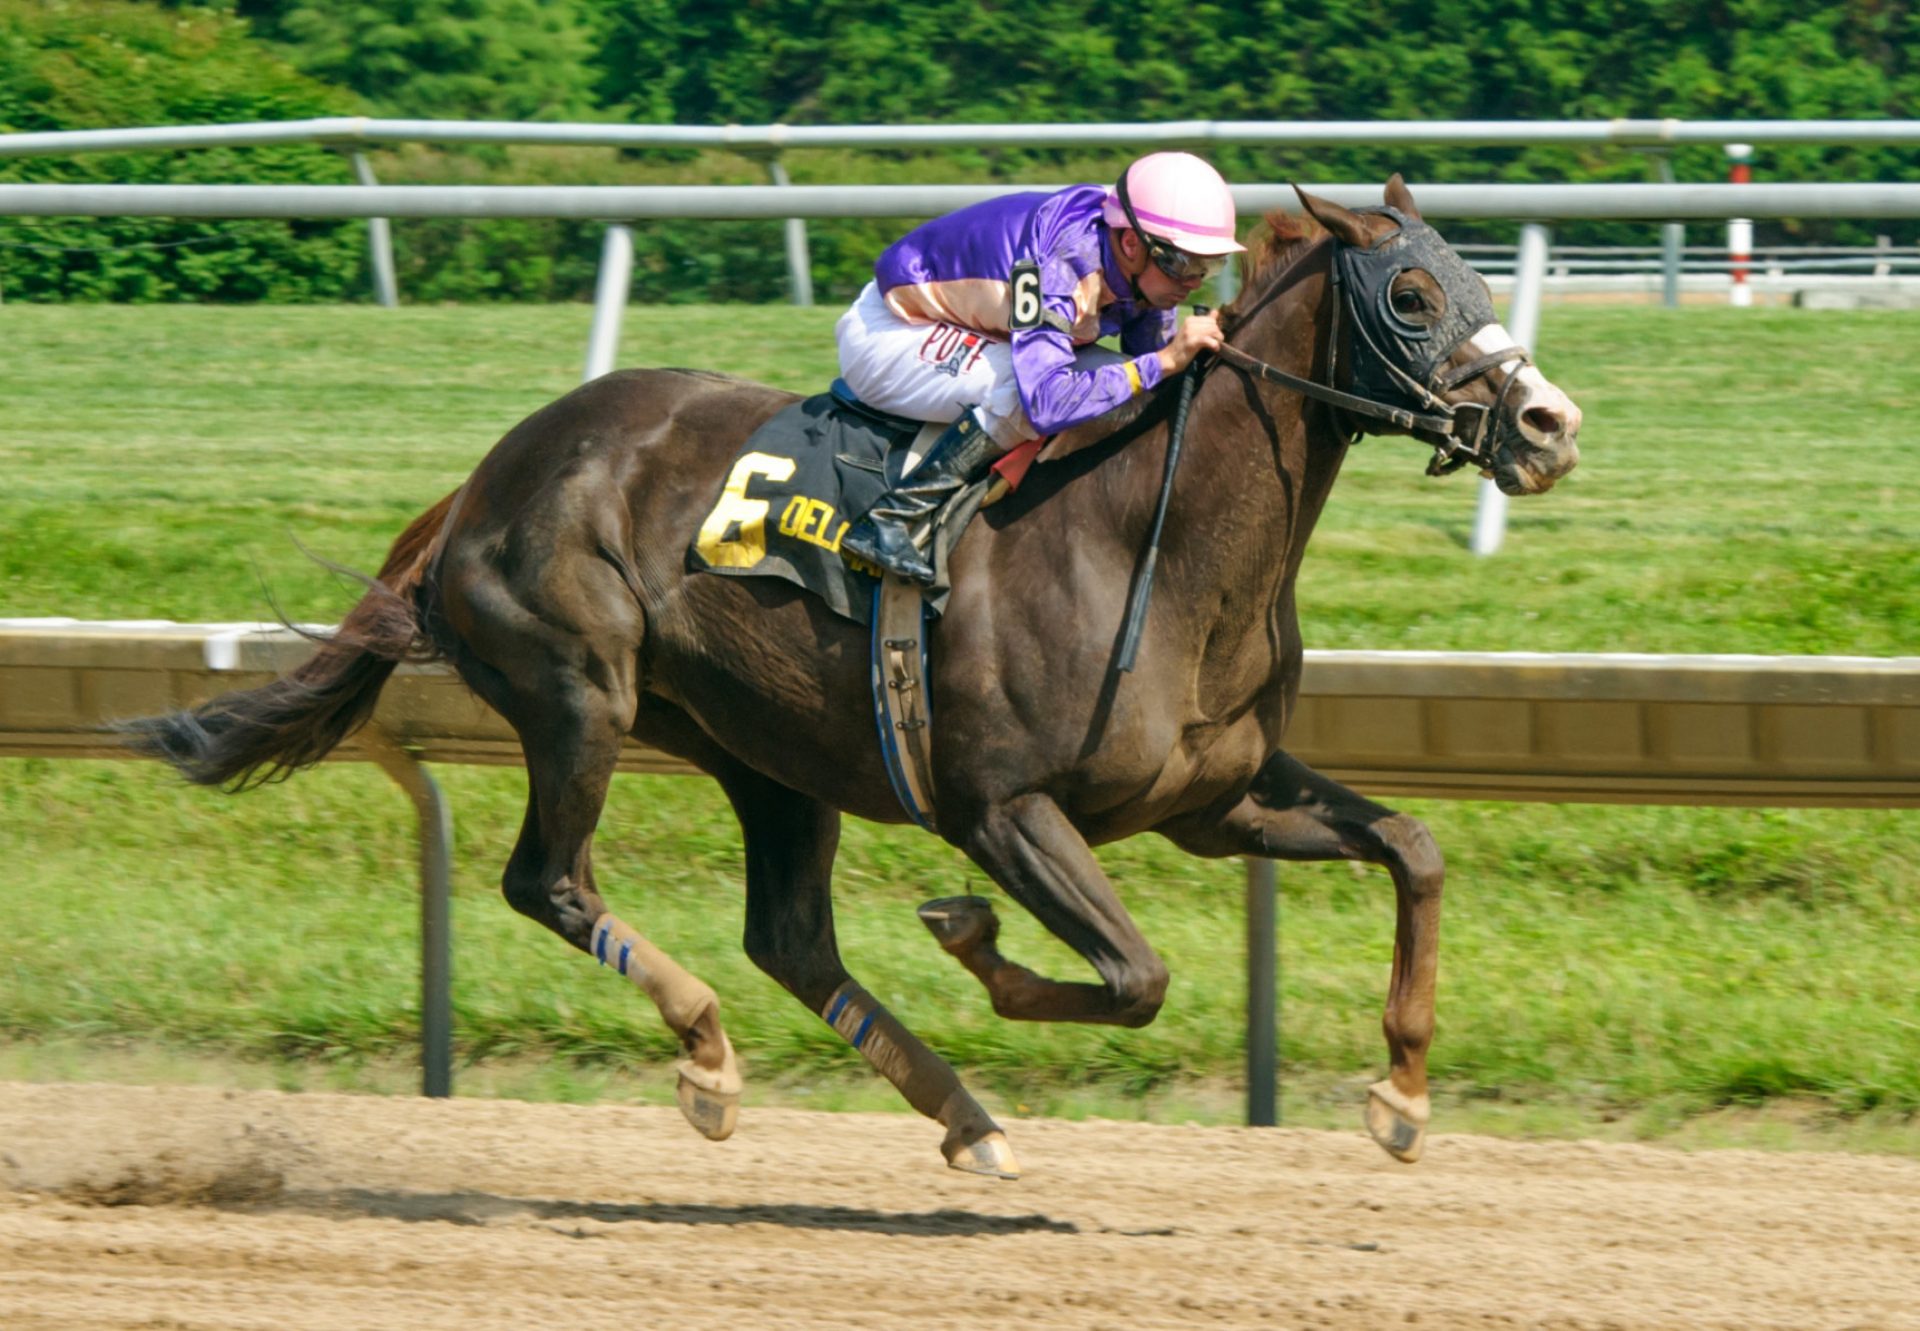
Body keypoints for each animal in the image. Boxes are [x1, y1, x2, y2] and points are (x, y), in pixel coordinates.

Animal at [131, 176, 1574, 1175]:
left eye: (1474, 277)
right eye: (1409, 297)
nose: (1547, 422)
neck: (1140, 541)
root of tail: (485, 477)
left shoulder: (1213, 800)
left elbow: (1414, 846)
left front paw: (1402, 1093)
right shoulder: (1001, 807)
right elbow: (1133, 974)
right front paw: (972, 936)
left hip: (764, 748)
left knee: (787, 933)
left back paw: (965, 1115)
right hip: (579, 689)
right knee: (550, 879)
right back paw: (710, 1053)